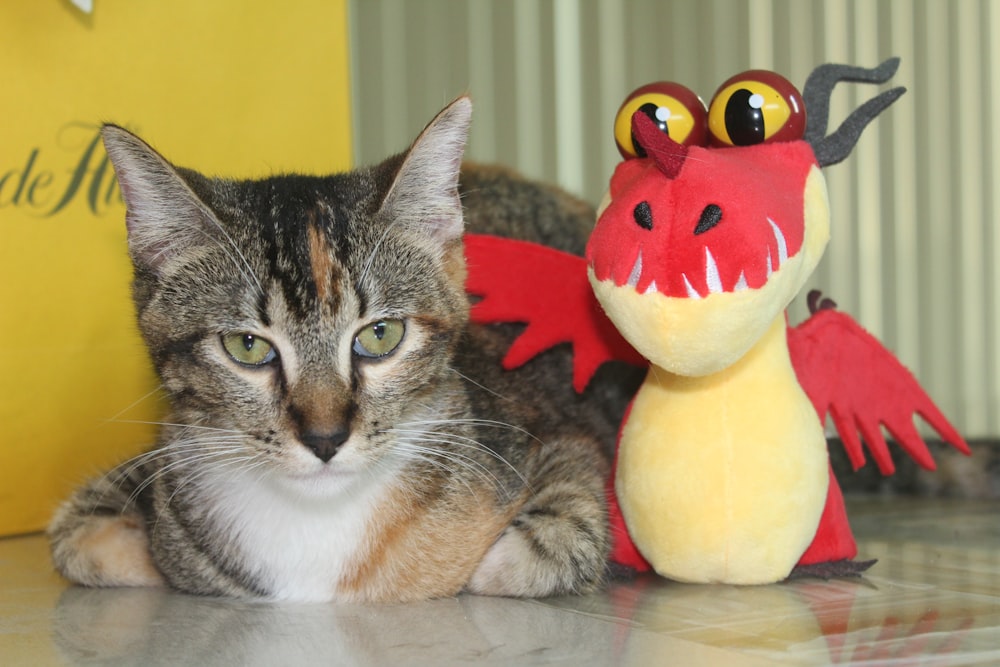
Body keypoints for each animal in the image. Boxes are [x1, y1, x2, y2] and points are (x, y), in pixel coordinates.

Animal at [48, 98, 640, 604]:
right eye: (246, 346)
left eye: (380, 336)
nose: (325, 438)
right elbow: (77, 538)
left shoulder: (558, 434)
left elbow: (545, 541)